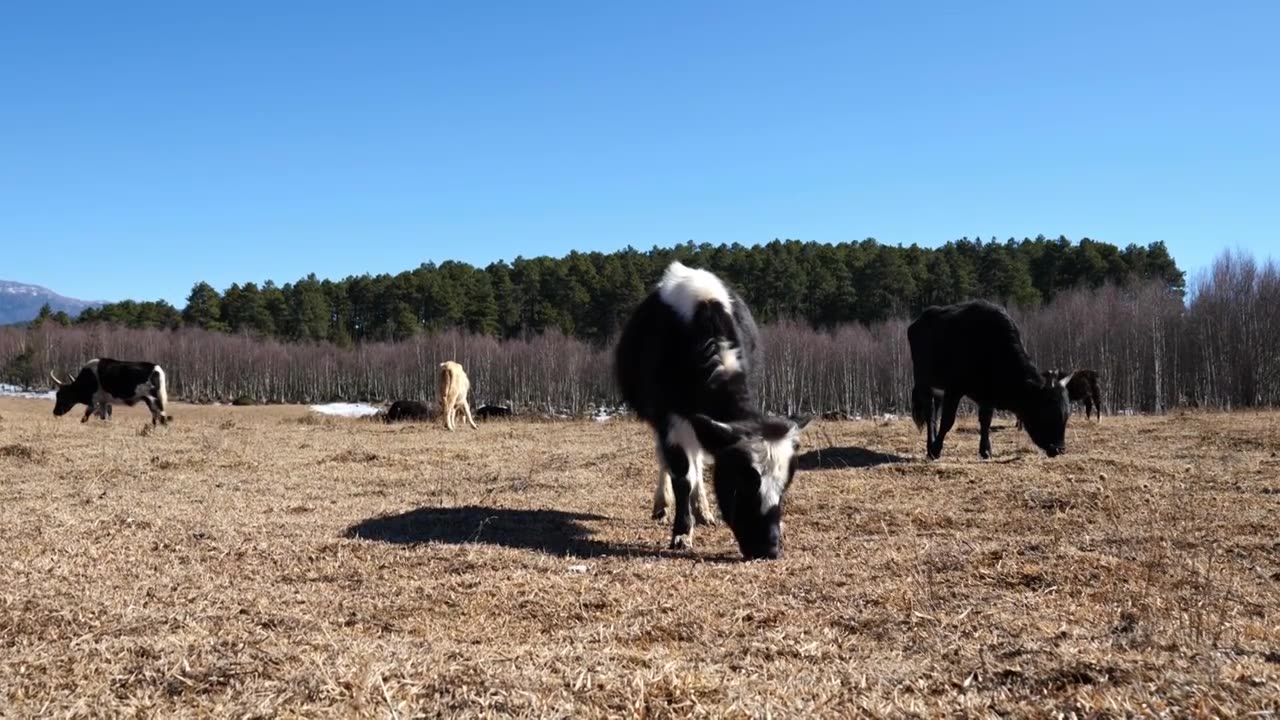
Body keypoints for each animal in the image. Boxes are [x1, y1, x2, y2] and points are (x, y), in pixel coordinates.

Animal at [611, 260, 808, 558]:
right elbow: (681, 475)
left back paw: (703, 511)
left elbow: (696, 467)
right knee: (671, 462)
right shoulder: (668, 417)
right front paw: (681, 533)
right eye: (741, 483)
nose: (769, 548)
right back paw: (663, 505)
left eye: (785, 488)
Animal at [906, 298, 1075, 456]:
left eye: (1066, 415)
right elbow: (948, 420)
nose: (1059, 449)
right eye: (1047, 412)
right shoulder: (954, 389)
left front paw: (985, 450)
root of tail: (917, 322)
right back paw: (930, 446)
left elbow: (985, 421)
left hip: (938, 390)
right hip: (923, 383)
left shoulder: (987, 396)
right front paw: (936, 450)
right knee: (930, 414)